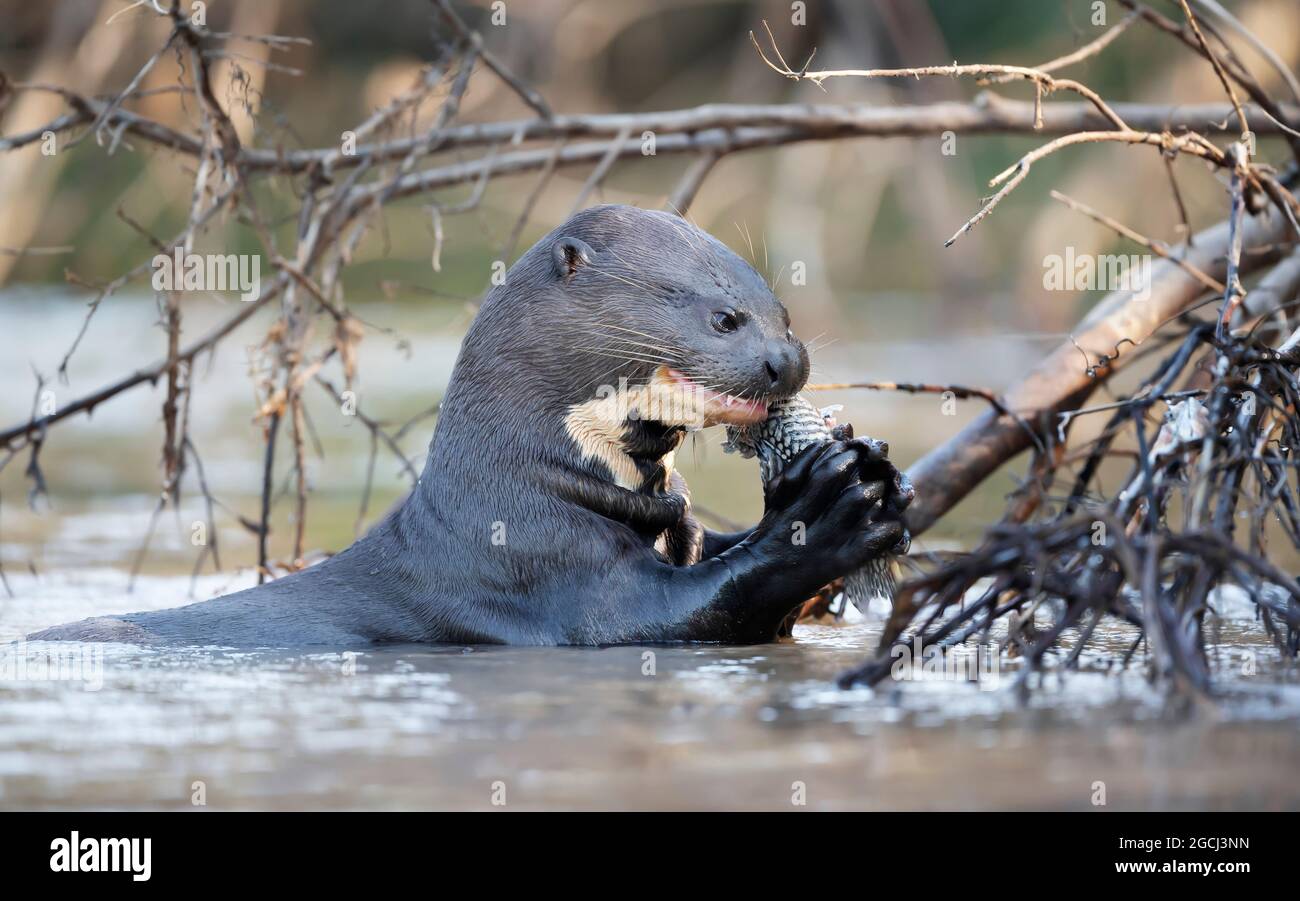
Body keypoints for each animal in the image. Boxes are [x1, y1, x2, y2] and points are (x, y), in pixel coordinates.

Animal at [30, 204, 904, 647]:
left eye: (782, 310)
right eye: (725, 318)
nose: (787, 360)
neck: (520, 492)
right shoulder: (538, 571)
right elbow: (689, 608)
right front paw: (828, 510)